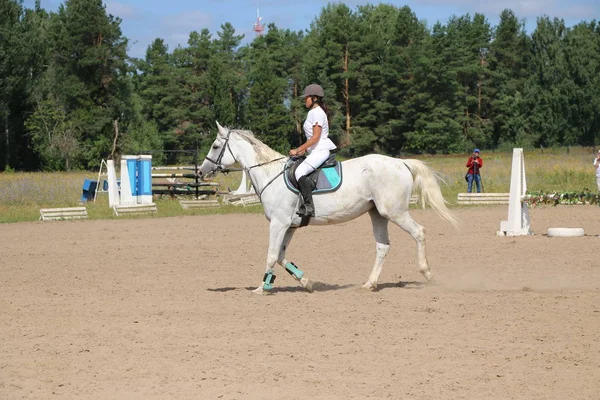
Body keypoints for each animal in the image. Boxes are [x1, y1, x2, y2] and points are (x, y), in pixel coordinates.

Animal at [199, 122, 458, 294]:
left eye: (215, 146)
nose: (201, 172)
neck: (269, 173)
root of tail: (401, 163)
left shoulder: (279, 224)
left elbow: (272, 255)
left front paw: (262, 287)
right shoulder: (289, 226)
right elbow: (281, 256)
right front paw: (305, 282)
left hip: (395, 212)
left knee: (419, 232)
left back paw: (427, 273)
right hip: (377, 213)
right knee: (383, 246)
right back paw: (369, 284)